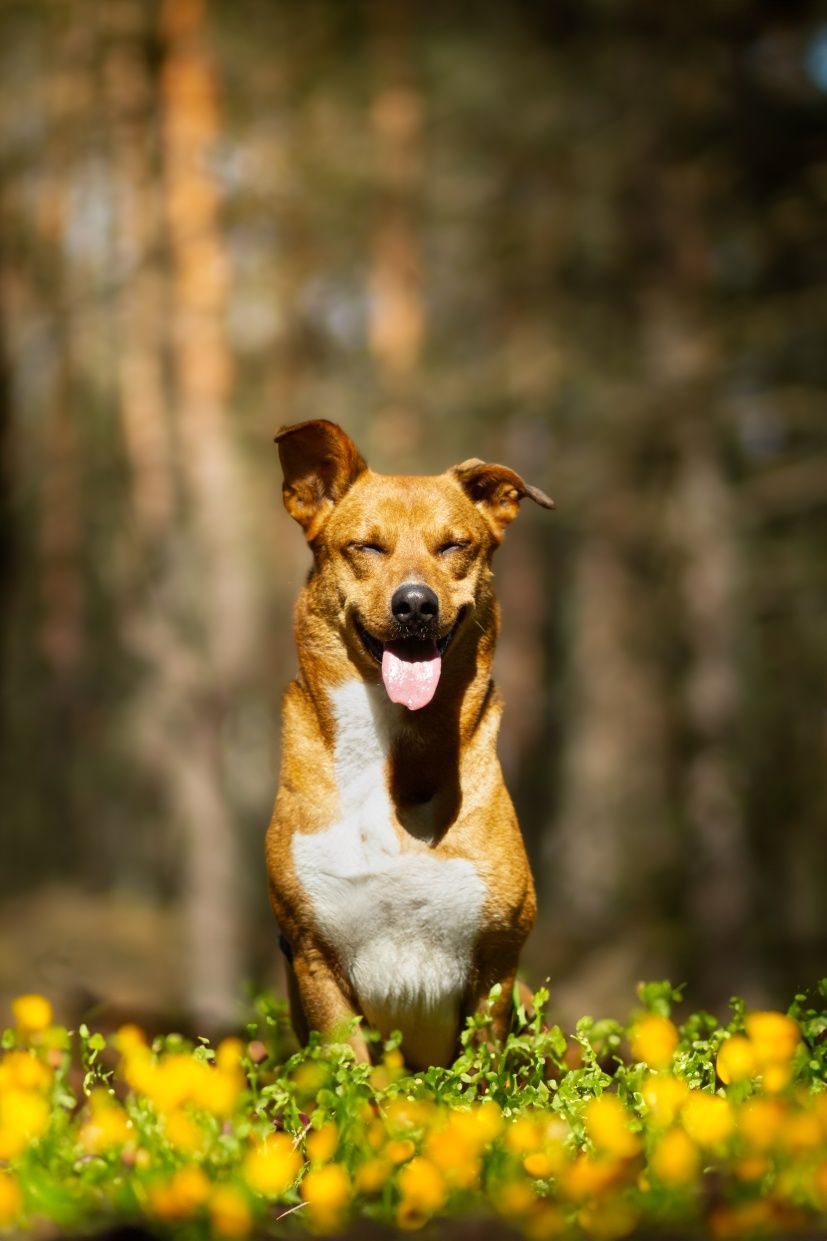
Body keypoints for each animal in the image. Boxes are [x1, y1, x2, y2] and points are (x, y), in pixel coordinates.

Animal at [266, 419, 551, 1067]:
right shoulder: (315, 956)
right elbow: (353, 1075)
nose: (416, 604)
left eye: (454, 546)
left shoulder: (496, 964)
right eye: (367, 547)